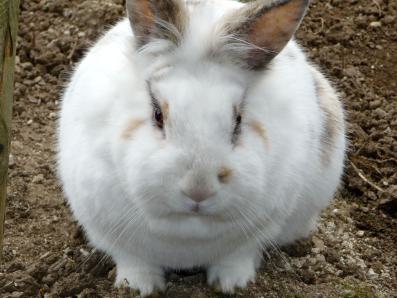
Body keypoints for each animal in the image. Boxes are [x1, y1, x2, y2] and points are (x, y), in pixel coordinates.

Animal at [57, 0, 344, 294]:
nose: (198, 191)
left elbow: (238, 257)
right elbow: (133, 260)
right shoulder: (108, 229)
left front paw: (231, 284)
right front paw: (139, 287)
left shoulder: (258, 232)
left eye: (238, 120)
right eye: (158, 115)